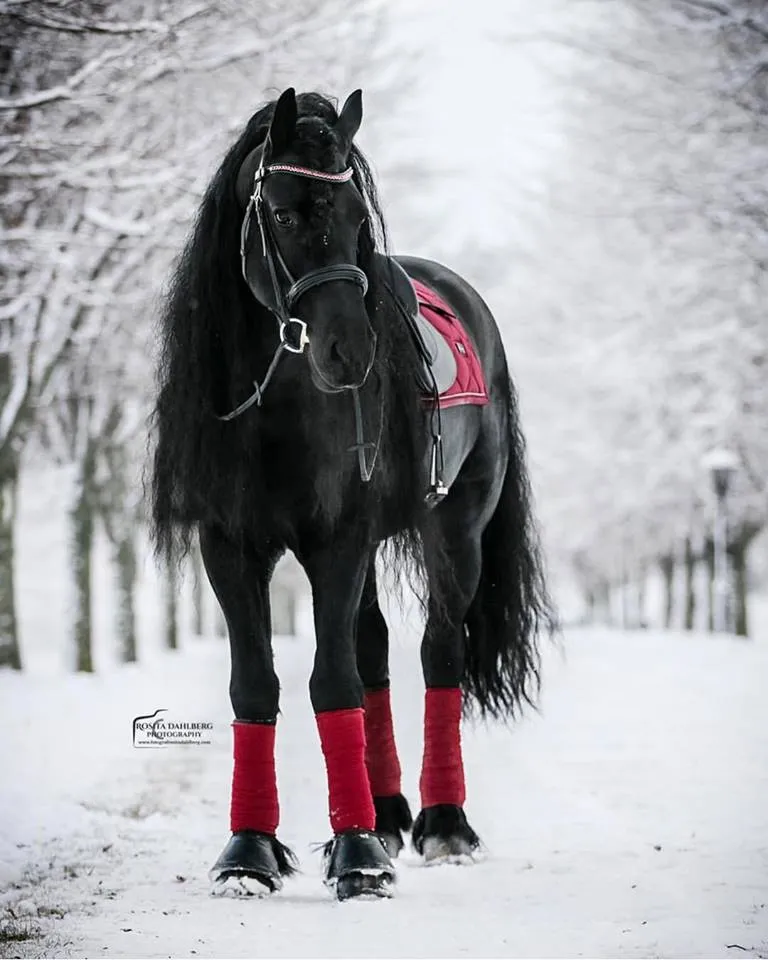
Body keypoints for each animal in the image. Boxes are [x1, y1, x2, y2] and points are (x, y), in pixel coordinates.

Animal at [152, 88, 552, 900]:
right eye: (279, 213)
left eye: (356, 217)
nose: (350, 350)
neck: (279, 408)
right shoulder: (230, 545)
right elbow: (258, 684)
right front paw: (251, 852)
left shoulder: (337, 539)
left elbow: (330, 681)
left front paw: (358, 855)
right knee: (375, 651)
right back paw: (389, 810)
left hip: (456, 529)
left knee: (438, 652)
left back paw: (443, 823)